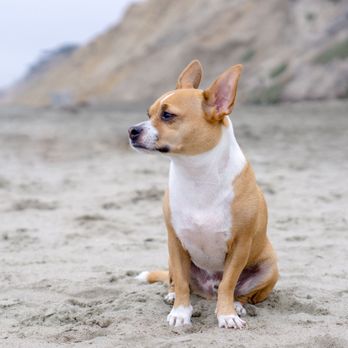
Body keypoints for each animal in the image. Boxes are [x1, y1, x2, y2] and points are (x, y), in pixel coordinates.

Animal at [129, 59, 278, 328]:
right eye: (148, 114)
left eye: (167, 115)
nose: (132, 130)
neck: (196, 173)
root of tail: (208, 290)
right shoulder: (175, 242)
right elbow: (181, 282)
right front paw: (180, 312)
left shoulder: (240, 244)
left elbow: (229, 282)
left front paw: (227, 314)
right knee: (177, 281)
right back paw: (172, 295)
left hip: (269, 267)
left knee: (237, 291)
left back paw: (237, 305)